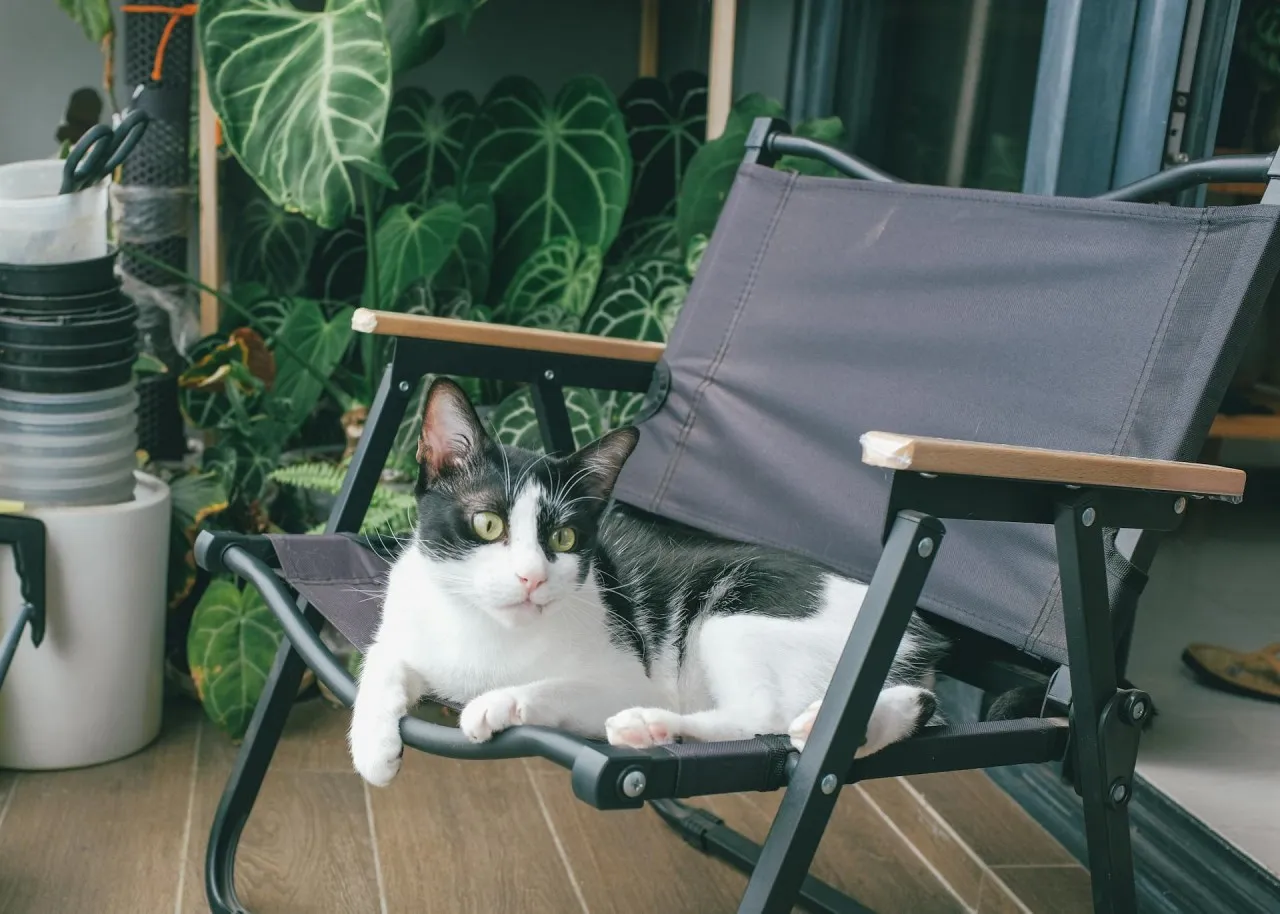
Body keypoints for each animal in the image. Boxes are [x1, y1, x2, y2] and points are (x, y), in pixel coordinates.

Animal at [348, 377, 947, 787]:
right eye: (488, 524)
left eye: (564, 537)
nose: (532, 577)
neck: (488, 631)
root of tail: (920, 636)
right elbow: (381, 658)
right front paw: (373, 746)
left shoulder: (626, 674)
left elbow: (558, 686)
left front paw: (500, 702)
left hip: (733, 615)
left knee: (762, 716)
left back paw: (648, 724)